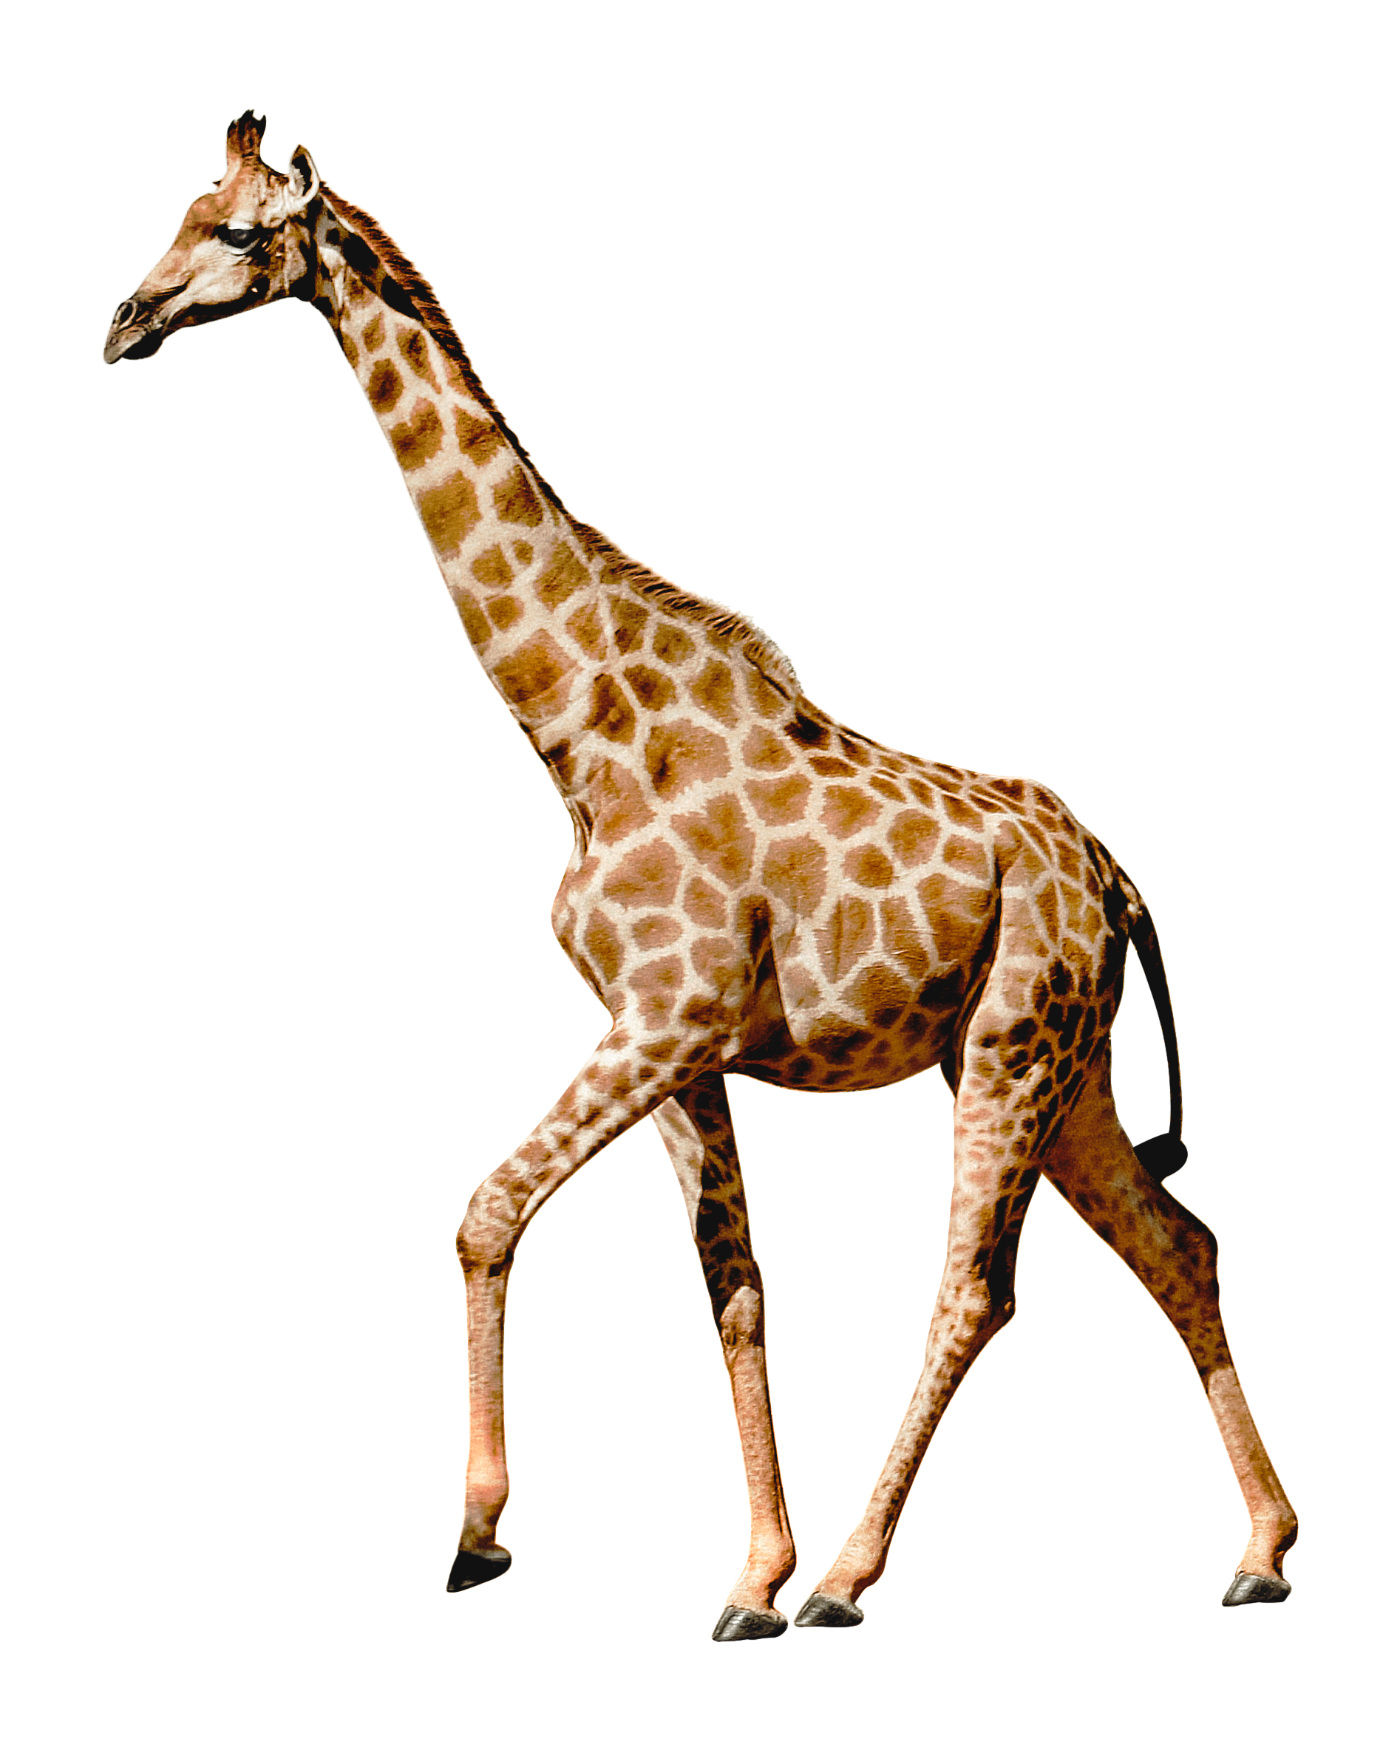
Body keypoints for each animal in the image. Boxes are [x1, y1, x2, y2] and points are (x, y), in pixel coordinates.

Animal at [104, 112, 1300, 1636]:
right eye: (185, 211)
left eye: (246, 232)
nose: (125, 318)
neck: (576, 718)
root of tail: (1120, 881)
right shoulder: (678, 1045)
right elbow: (731, 1289)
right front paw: (747, 1569)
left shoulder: (664, 1019)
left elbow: (486, 1209)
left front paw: (483, 1537)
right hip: (1067, 1069)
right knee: (1176, 1247)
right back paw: (1258, 1551)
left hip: (1014, 1046)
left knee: (977, 1286)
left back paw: (849, 1584)